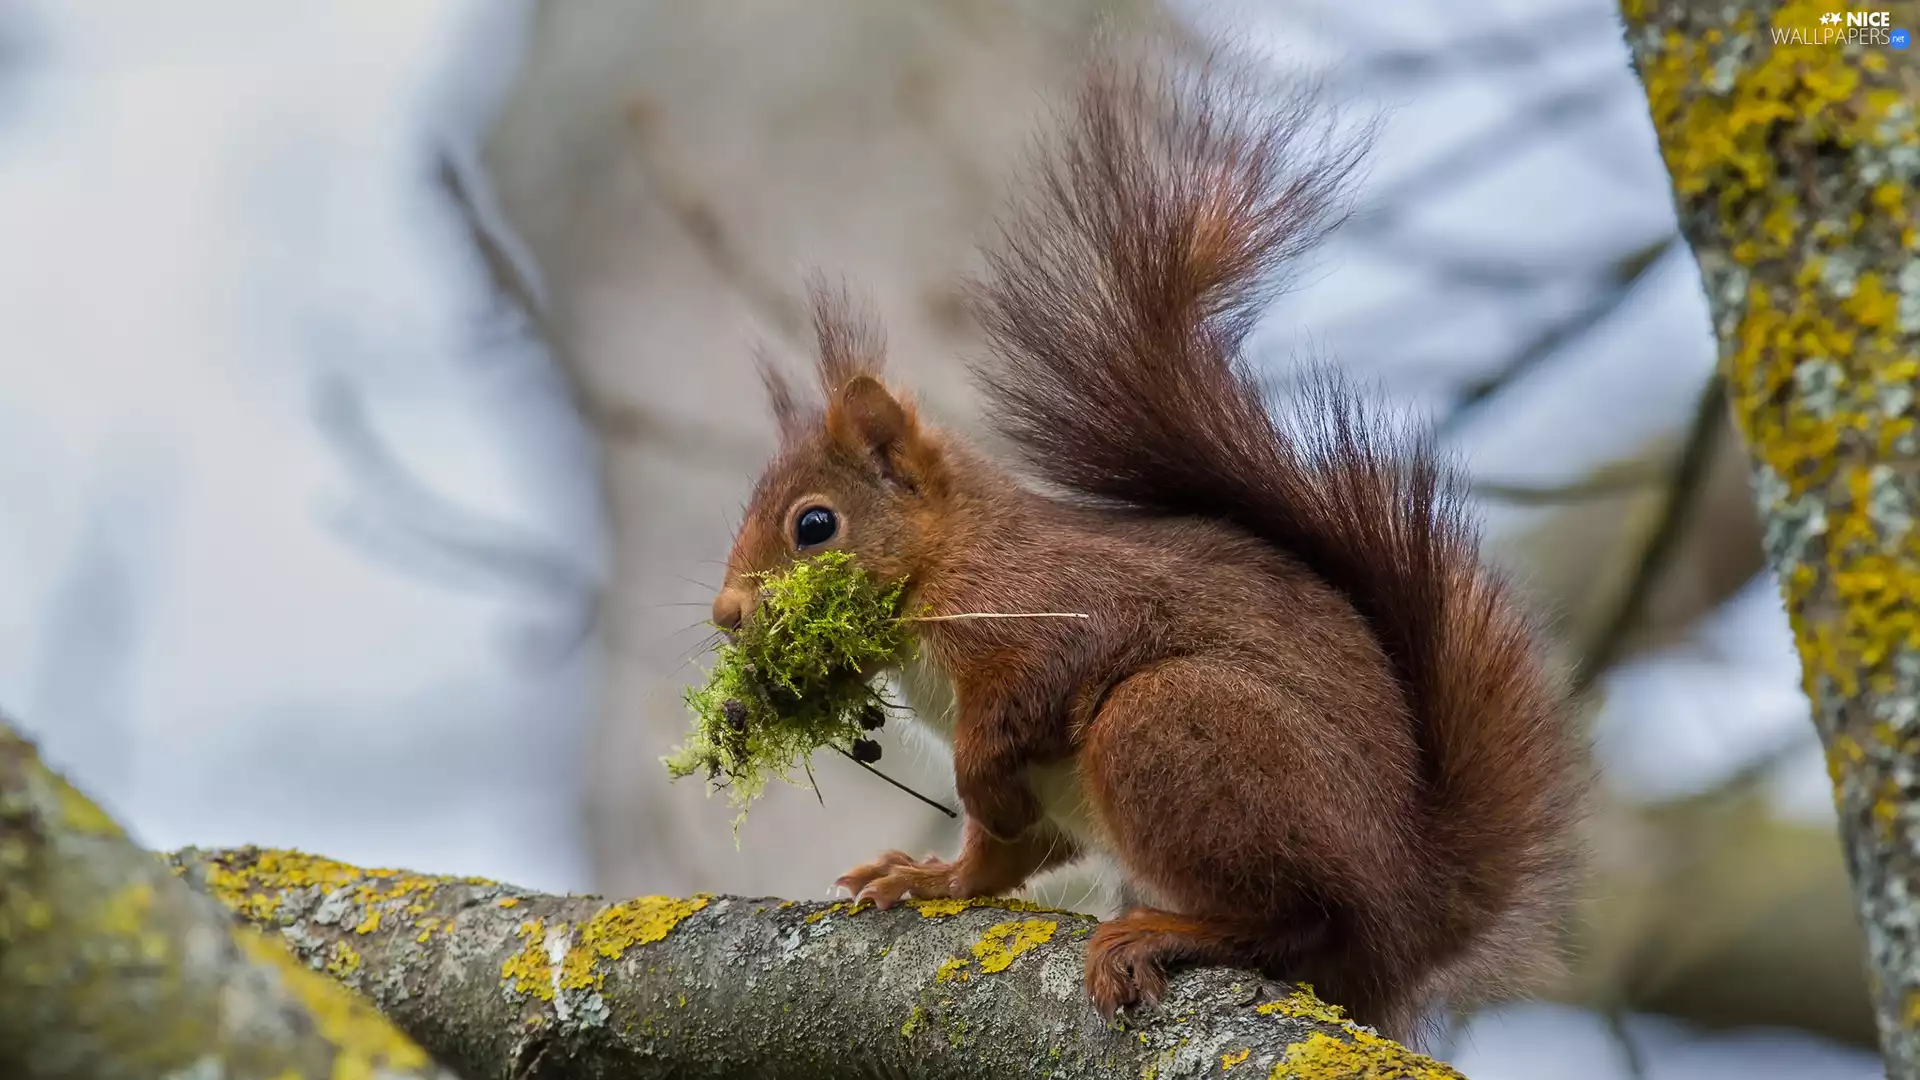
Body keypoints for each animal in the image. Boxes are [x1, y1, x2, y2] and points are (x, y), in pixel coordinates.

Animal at [708, 47, 1587, 1044]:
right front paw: (930, 878)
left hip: (1168, 728)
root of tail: (1406, 915)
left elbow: (1023, 710)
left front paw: (973, 790)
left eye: (815, 525)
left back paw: (1159, 932)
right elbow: (1001, 854)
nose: (725, 613)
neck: (948, 559)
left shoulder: (1045, 607)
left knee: (1294, 914)